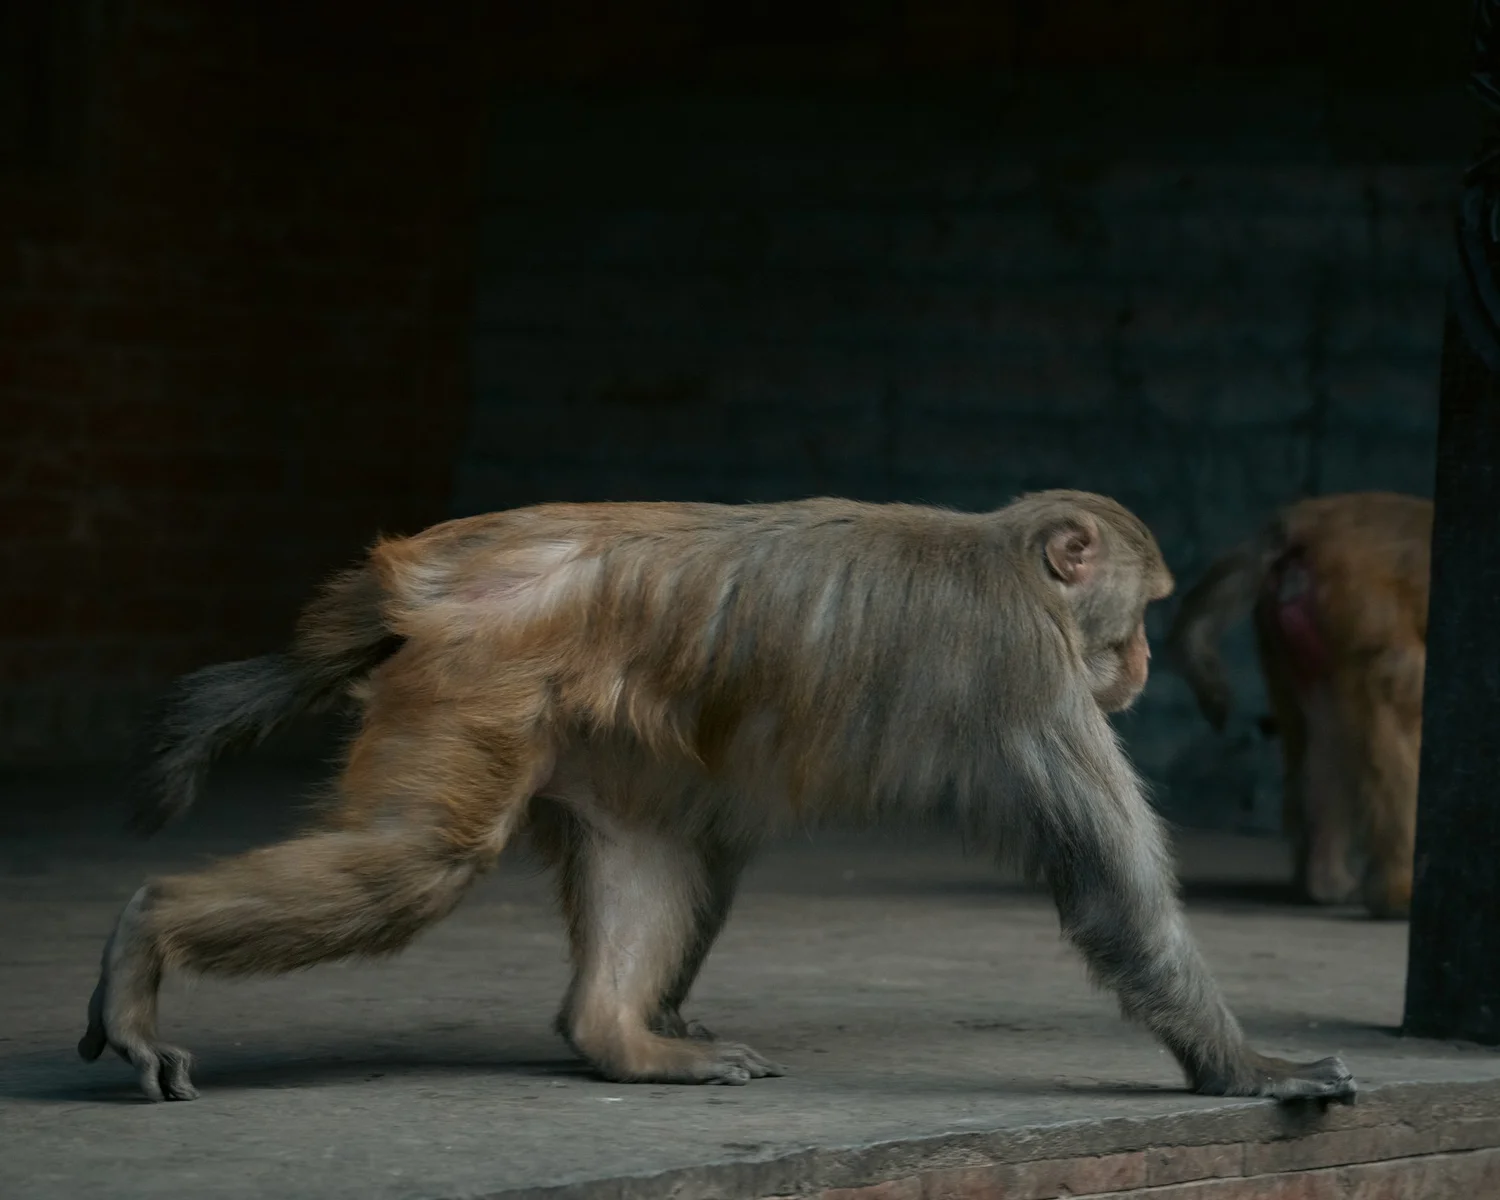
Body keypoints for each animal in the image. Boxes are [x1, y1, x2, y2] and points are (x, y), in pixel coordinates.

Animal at [78, 490, 1355, 1104]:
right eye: (1136, 613)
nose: (1137, 664)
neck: (1013, 566)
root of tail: (437, 575)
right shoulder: (1022, 667)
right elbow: (1112, 890)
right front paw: (1247, 1068)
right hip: (473, 684)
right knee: (416, 868)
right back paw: (147, 932)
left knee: (668, 839)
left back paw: (620, 1036)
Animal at [1163, 492, 1432, 920]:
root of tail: (1309, 521)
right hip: (1360, 596)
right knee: (1399, 697)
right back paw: (1396, 892)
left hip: (1292, 629)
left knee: (1322, 735)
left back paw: (1324, 881)